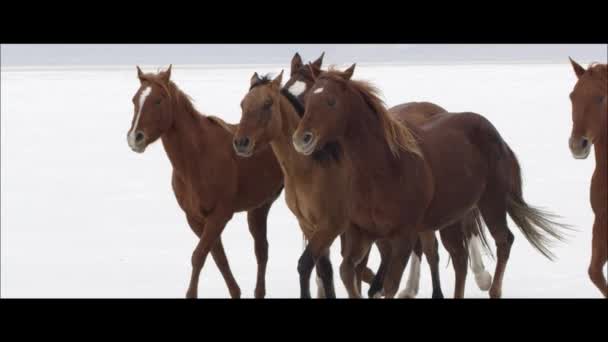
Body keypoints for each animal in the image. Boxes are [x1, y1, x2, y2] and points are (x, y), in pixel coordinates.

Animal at [125, 65, 284, 298]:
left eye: (158, 100)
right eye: (135, 100)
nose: (135, 138)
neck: (199, 156)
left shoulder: (220, 216)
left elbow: (199, 256)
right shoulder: (195, 218)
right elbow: (219, 258)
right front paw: (235, 291)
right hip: (259, 207)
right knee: (261, 250)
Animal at [294, 65, 568, 298]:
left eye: (331, 101)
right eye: (308, 101)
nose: (301, 139)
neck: (382, 169)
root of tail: (494, 134)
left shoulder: (403, 236)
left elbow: (389, 285)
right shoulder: (359, 233)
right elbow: (347, 273)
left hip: (491, 202)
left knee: (503, 241)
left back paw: (493, 289)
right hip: (452, 216)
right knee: (459, 258)